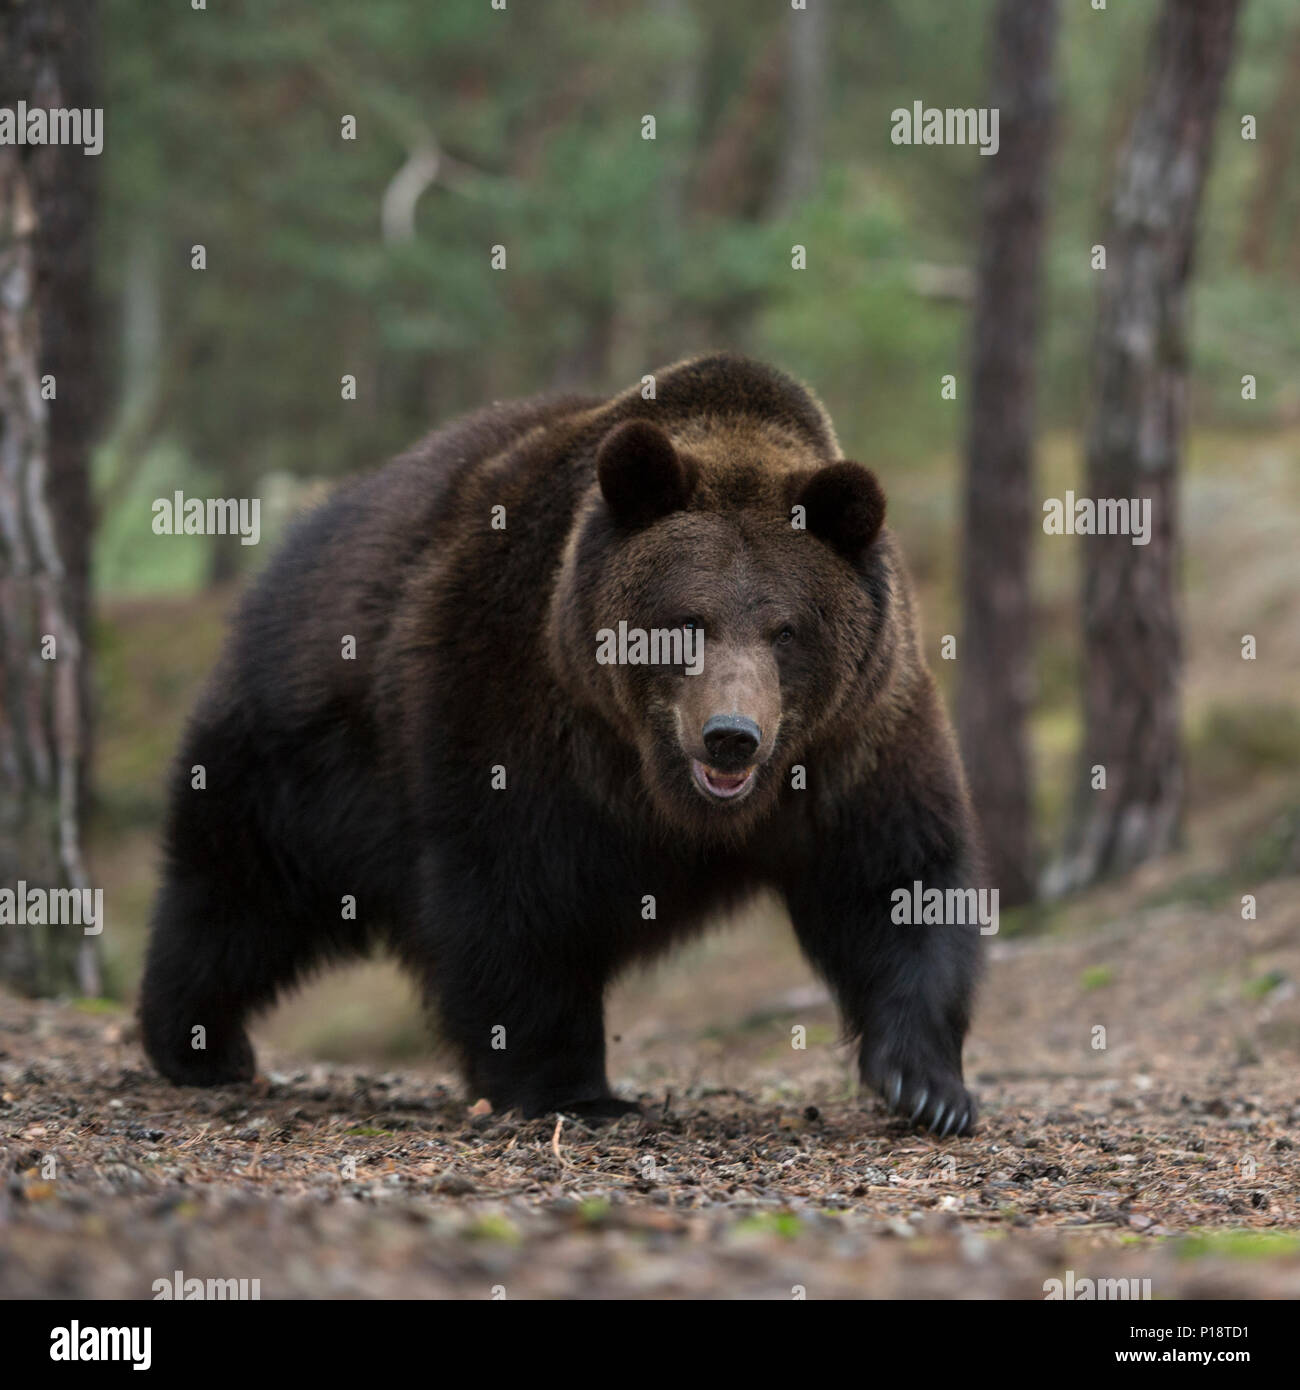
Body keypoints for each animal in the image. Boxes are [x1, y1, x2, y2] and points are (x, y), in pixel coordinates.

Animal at [136, 353, 984, 1134]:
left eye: (787, 630)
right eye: (686, 622)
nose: (731, 738)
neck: (653, 777)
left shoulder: (854, 741)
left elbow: (897, 879)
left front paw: (929, 1087)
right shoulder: (514, 706)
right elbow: (514, 898)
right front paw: (574, 1089)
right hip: (310, 750)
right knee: (239, 890)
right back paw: (198, 1041)